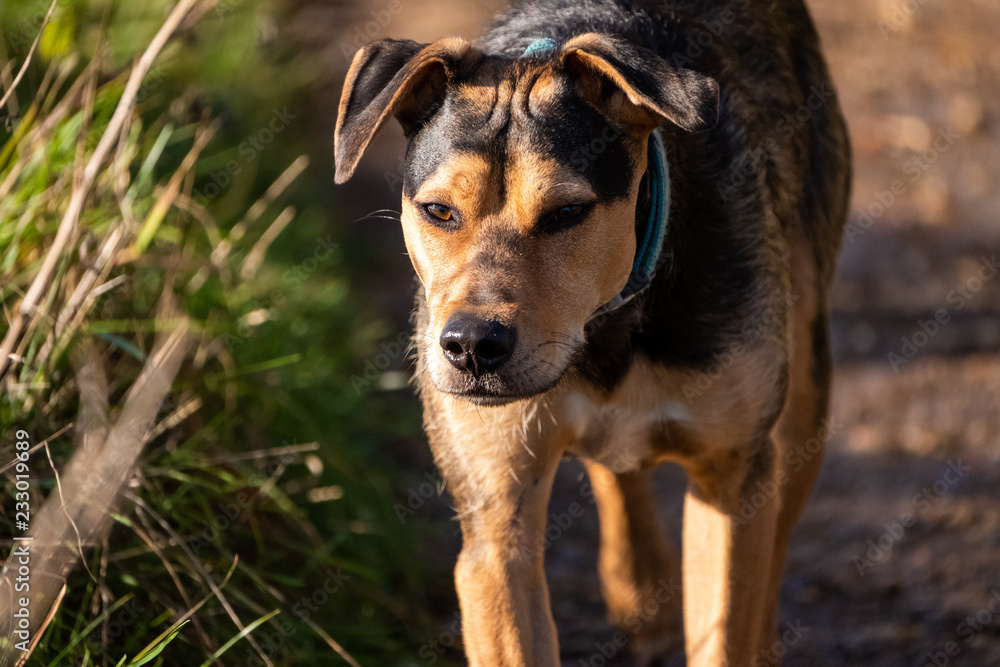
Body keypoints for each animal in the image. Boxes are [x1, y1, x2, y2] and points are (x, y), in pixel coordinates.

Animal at [336, 0, 852, 664]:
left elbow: (727, 624)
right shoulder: (495, 522)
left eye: (567, 213)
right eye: (439, 211)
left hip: (802, 381)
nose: (472, 347)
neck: (601, 333)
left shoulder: (730, 473)